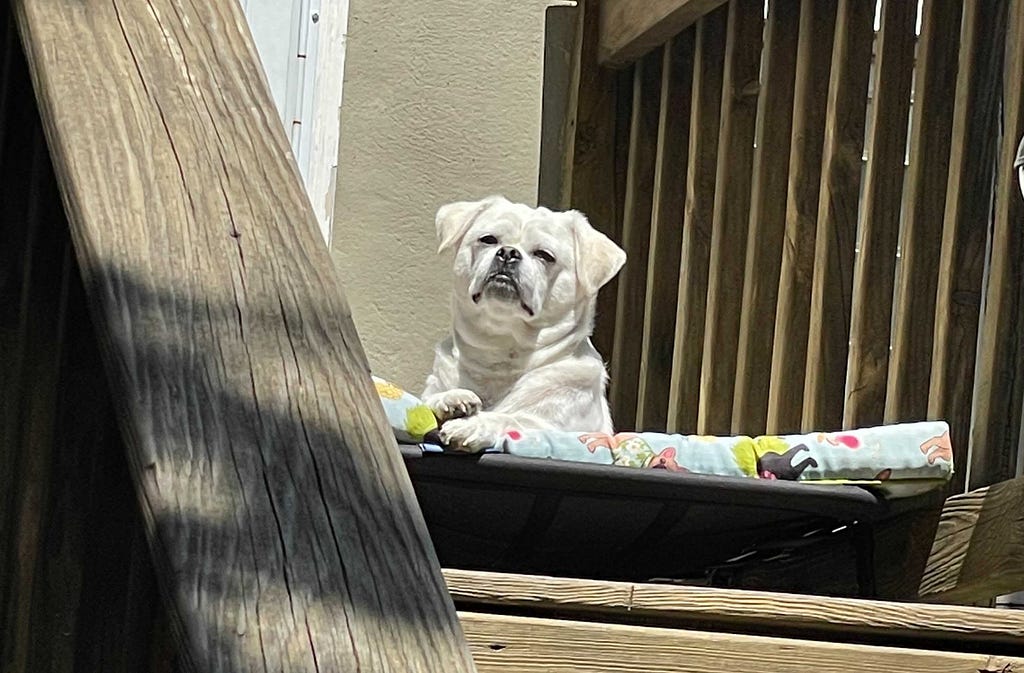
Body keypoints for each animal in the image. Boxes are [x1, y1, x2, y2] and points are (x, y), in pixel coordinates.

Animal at [421, 194, 622, 450]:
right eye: (488, 240)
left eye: (544, 255)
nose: (508, 252)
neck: (500, 351)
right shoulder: (431, 387)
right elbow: (427, 399)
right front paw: (451, 399)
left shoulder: (558, 427)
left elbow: (511, 418)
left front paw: (473, 424)